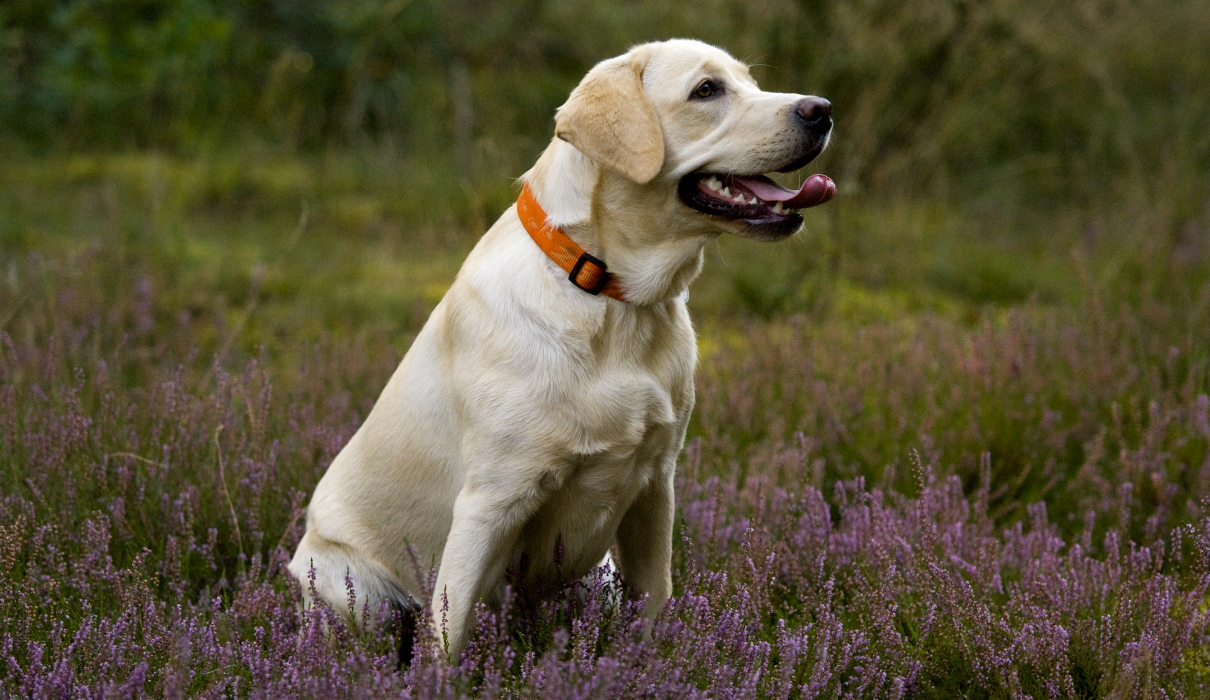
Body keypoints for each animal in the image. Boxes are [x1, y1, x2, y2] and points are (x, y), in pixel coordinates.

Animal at [289, 39, 837, 662]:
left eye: (749, 82)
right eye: (706, 90)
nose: (821, 109)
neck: (612, 297)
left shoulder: (655, 486)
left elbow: (655, 601)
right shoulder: (489, 503)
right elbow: (448, 638)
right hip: (355, 592)